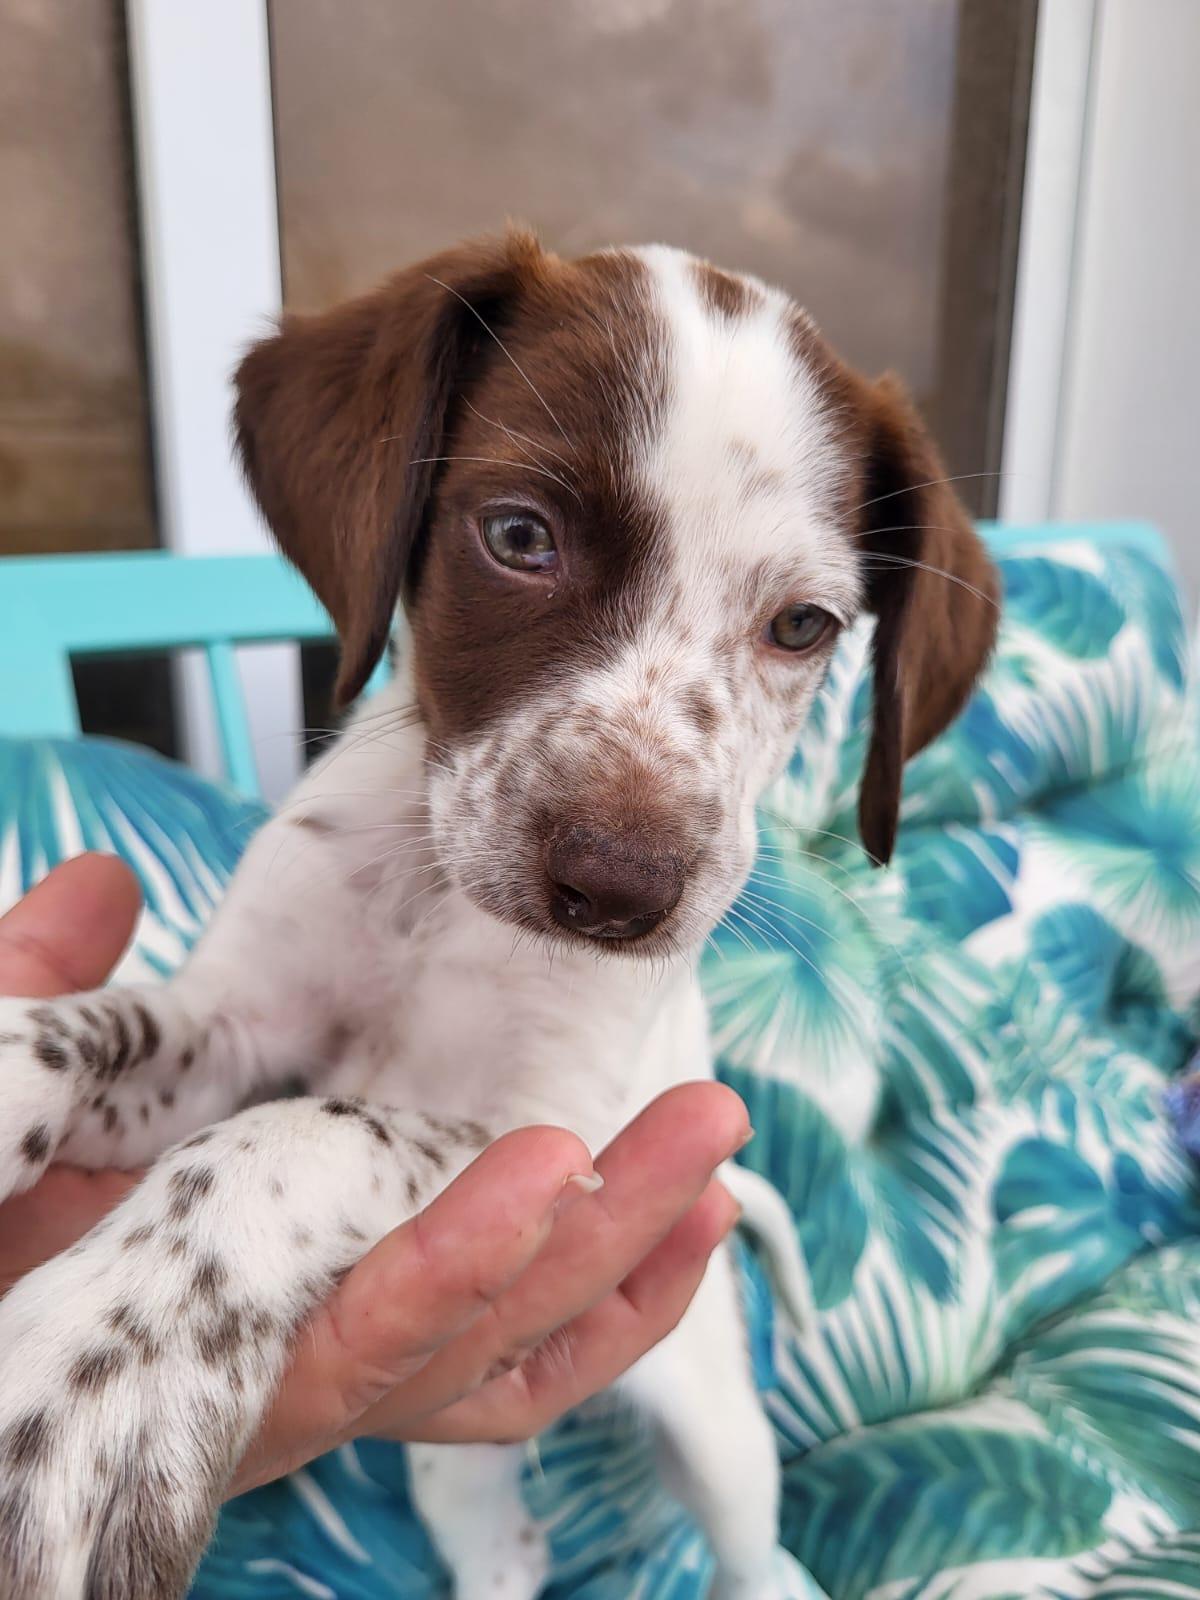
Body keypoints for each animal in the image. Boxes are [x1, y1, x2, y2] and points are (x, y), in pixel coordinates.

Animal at [0, 230, 997, 1599]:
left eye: (803, 626)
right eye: (520, 536)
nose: (620, 892)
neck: (443, 905)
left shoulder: (555, 1141)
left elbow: (297, 1137)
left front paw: (96, 1373)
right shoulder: (241, 1027)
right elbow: (81, 1031)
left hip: (721, 1445)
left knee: (762, 1560)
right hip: (453, 1462)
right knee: (503, 1542)